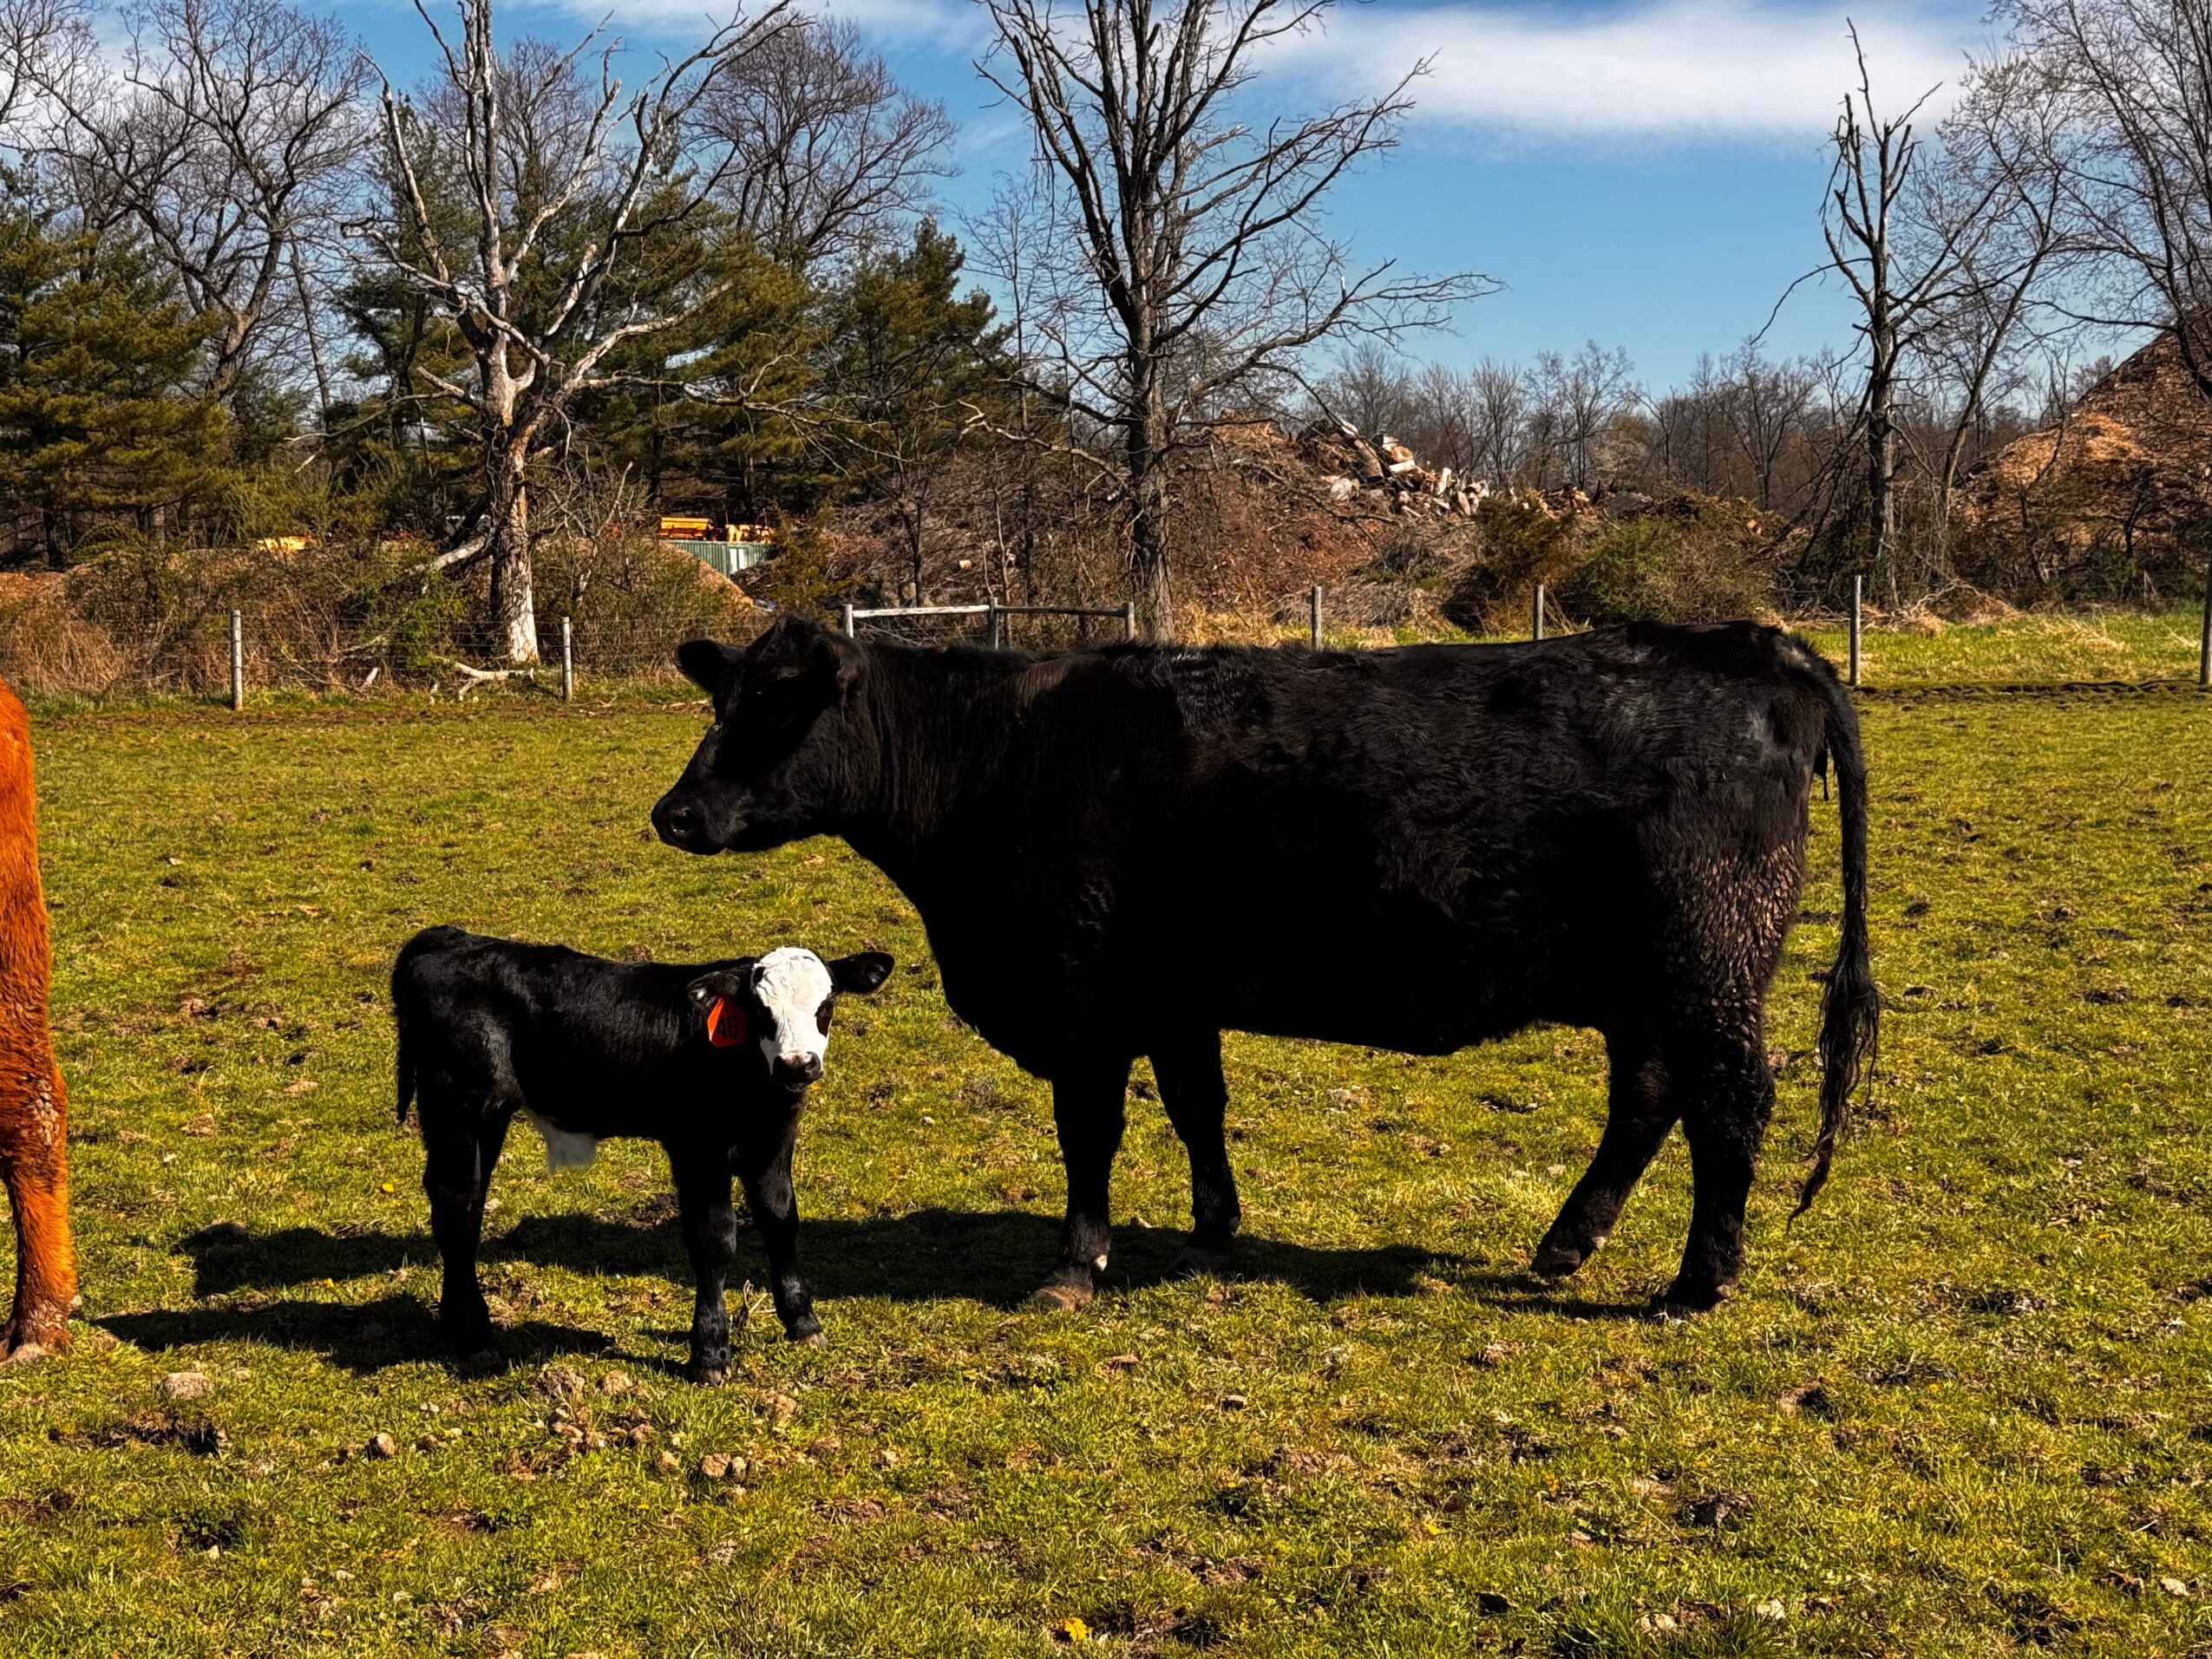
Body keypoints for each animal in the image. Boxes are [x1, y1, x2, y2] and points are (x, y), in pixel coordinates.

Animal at [391, 927, 893, 1379]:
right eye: (758, 1009)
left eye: (826, 1004)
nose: (797, 1064)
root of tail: (450, 939)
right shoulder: (698, 1148)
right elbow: (714, 1239)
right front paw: (710, 1353)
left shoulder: (772, 1144)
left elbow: (781, 1222)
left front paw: (803, 1323)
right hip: (457, 1104)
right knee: (456, 1203)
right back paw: (475, 1337)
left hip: (485, 1118)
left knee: (465, 1201)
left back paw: (456, 1322)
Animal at [651, 616, 1876, 1317]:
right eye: (721, 698)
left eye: (781, 705)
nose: (676, 813)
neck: (995, 755)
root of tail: (1756, 640)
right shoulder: (1172, 990)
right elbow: (1198, 1100)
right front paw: (1213, 1224)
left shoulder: (1082, 996)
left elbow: (1089, 1134)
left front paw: (1074, 1266)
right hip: (1644, 981)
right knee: (1652, 1093)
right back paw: (1567, 1241)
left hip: (1708, 959)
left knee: (1731, 1098)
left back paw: (1697, 1281)